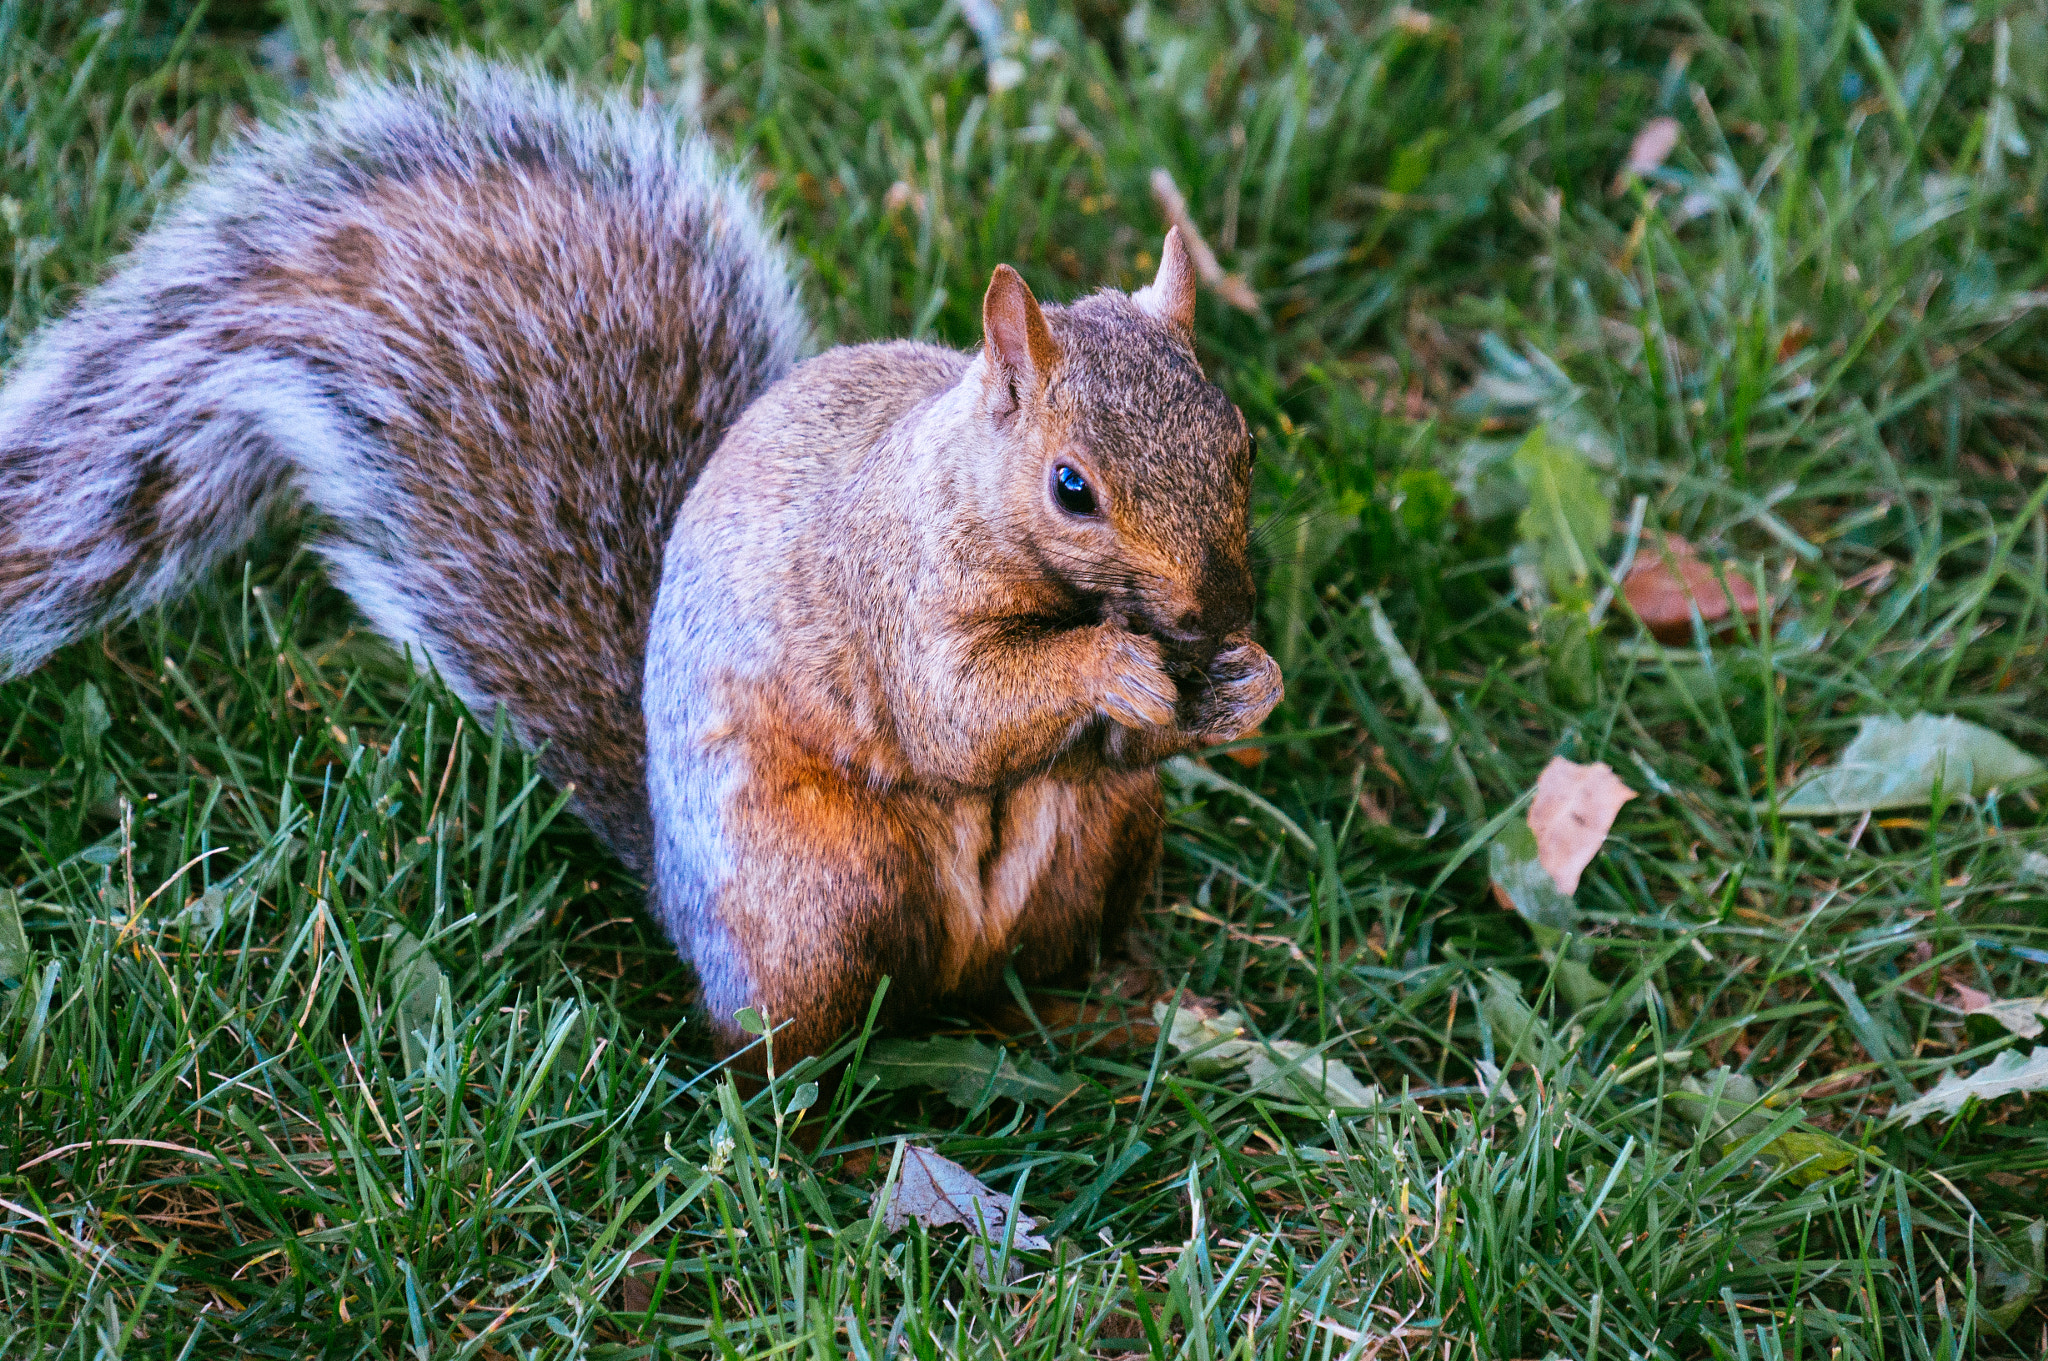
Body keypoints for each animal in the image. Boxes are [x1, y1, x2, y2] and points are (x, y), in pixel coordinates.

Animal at [0, 55, 1277, 1064]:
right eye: (1071, 488)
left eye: (1242, 440)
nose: (1218, 613)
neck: (959, 490)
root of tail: (672, 880)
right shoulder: (888, 593)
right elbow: (955, 714)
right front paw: (1108, 664)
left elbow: (1118, 735)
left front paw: (1244, 684)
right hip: (816, 886)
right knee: (779, 1039)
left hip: (1098, 837)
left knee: (1027, 978)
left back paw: (1110, 1012)